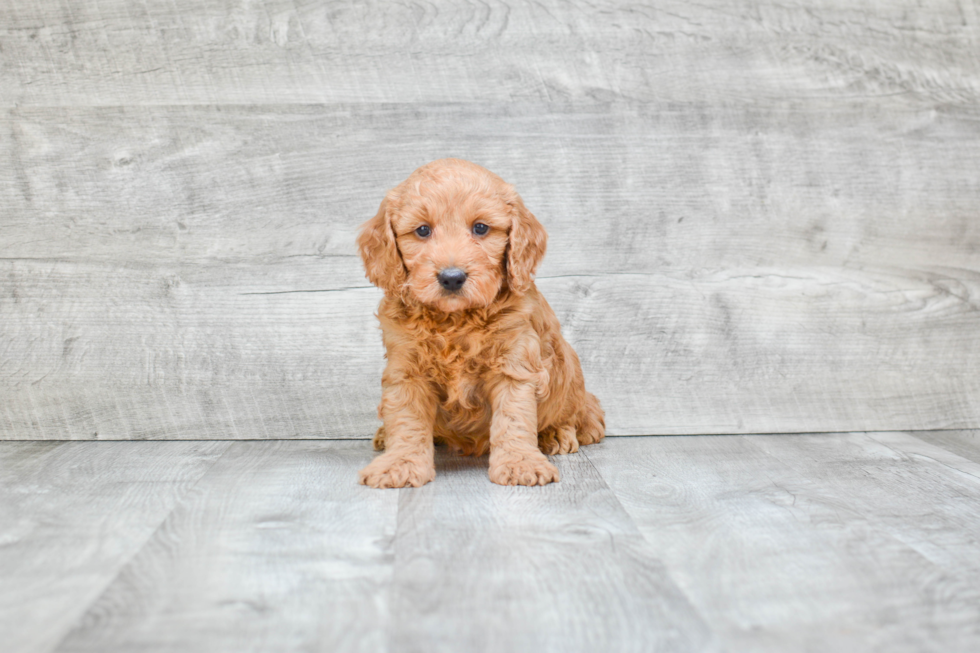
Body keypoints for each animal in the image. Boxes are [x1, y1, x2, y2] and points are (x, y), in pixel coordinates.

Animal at [358, 157, 604, 484]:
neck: (455, 319)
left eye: (481, 228)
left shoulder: (514, 364)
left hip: (570, 375)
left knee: (575, 413)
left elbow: (513, 418)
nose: (452, 277)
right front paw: (400, 463)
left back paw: (555, 433)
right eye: (422, 230)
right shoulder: (406, 370)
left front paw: (520, 463)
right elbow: (407, 420)